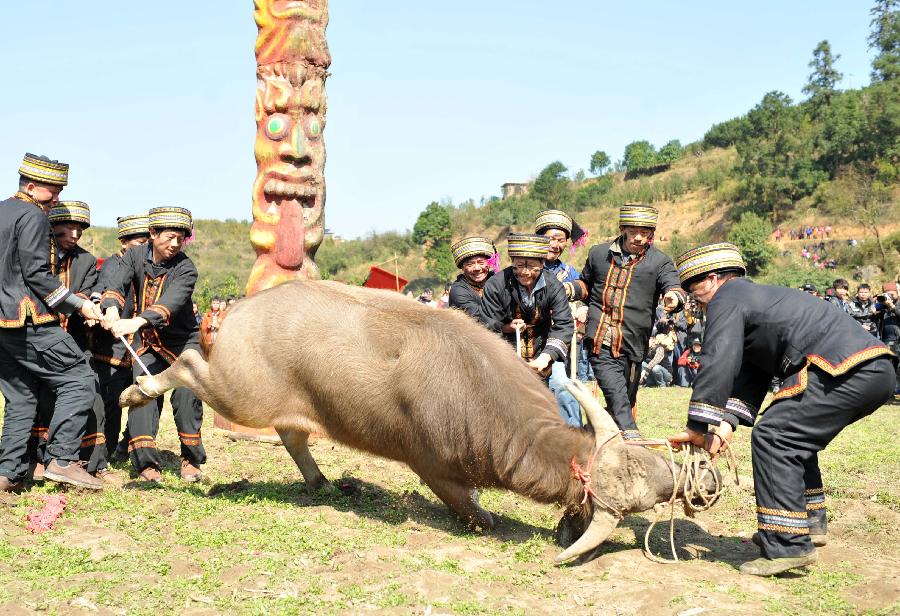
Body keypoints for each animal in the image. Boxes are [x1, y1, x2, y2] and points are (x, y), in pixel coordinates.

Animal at [119, 282, 712, 564]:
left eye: (650, 465)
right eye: (644, 498)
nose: (679, 479)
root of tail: (239, 311)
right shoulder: (434, 468)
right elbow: (467, 508)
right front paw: (485, 520)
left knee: (292, 434)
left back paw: (321, 482)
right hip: (237, 392)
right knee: (188, 364)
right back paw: (137, 387)